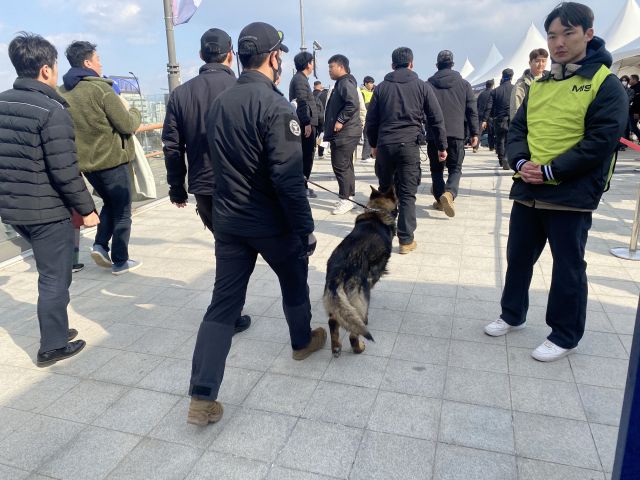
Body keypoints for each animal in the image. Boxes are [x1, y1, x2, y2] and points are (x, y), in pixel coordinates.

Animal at [322, 186, 398, 358]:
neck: (377, 212)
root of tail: (340, 270)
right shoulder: (374, 276)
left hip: (336, 301)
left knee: (333, 322)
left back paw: (336, 347)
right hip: (358, 302)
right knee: (353, 334)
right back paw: (359, 347)